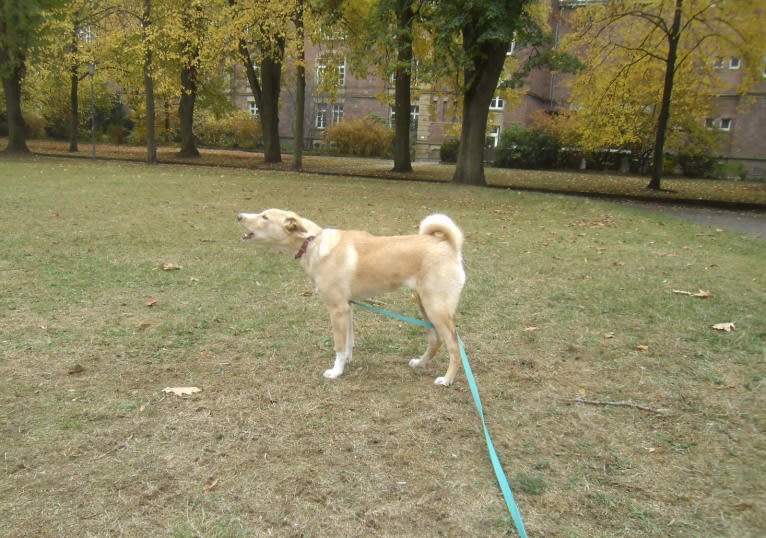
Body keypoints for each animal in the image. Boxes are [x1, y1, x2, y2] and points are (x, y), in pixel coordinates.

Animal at [240, 207, 468, 384]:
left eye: (264, 217)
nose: (239, 216)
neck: (313, 243)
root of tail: (449, 244)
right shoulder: (347, 307)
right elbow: (349, 342)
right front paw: (347, 362)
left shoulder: (337, 309)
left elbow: (339, 346)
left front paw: (336, 371)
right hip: (424, 305)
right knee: (435, 340)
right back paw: (420, 363)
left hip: (436, 308)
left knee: (454, 347)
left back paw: (447, 379)